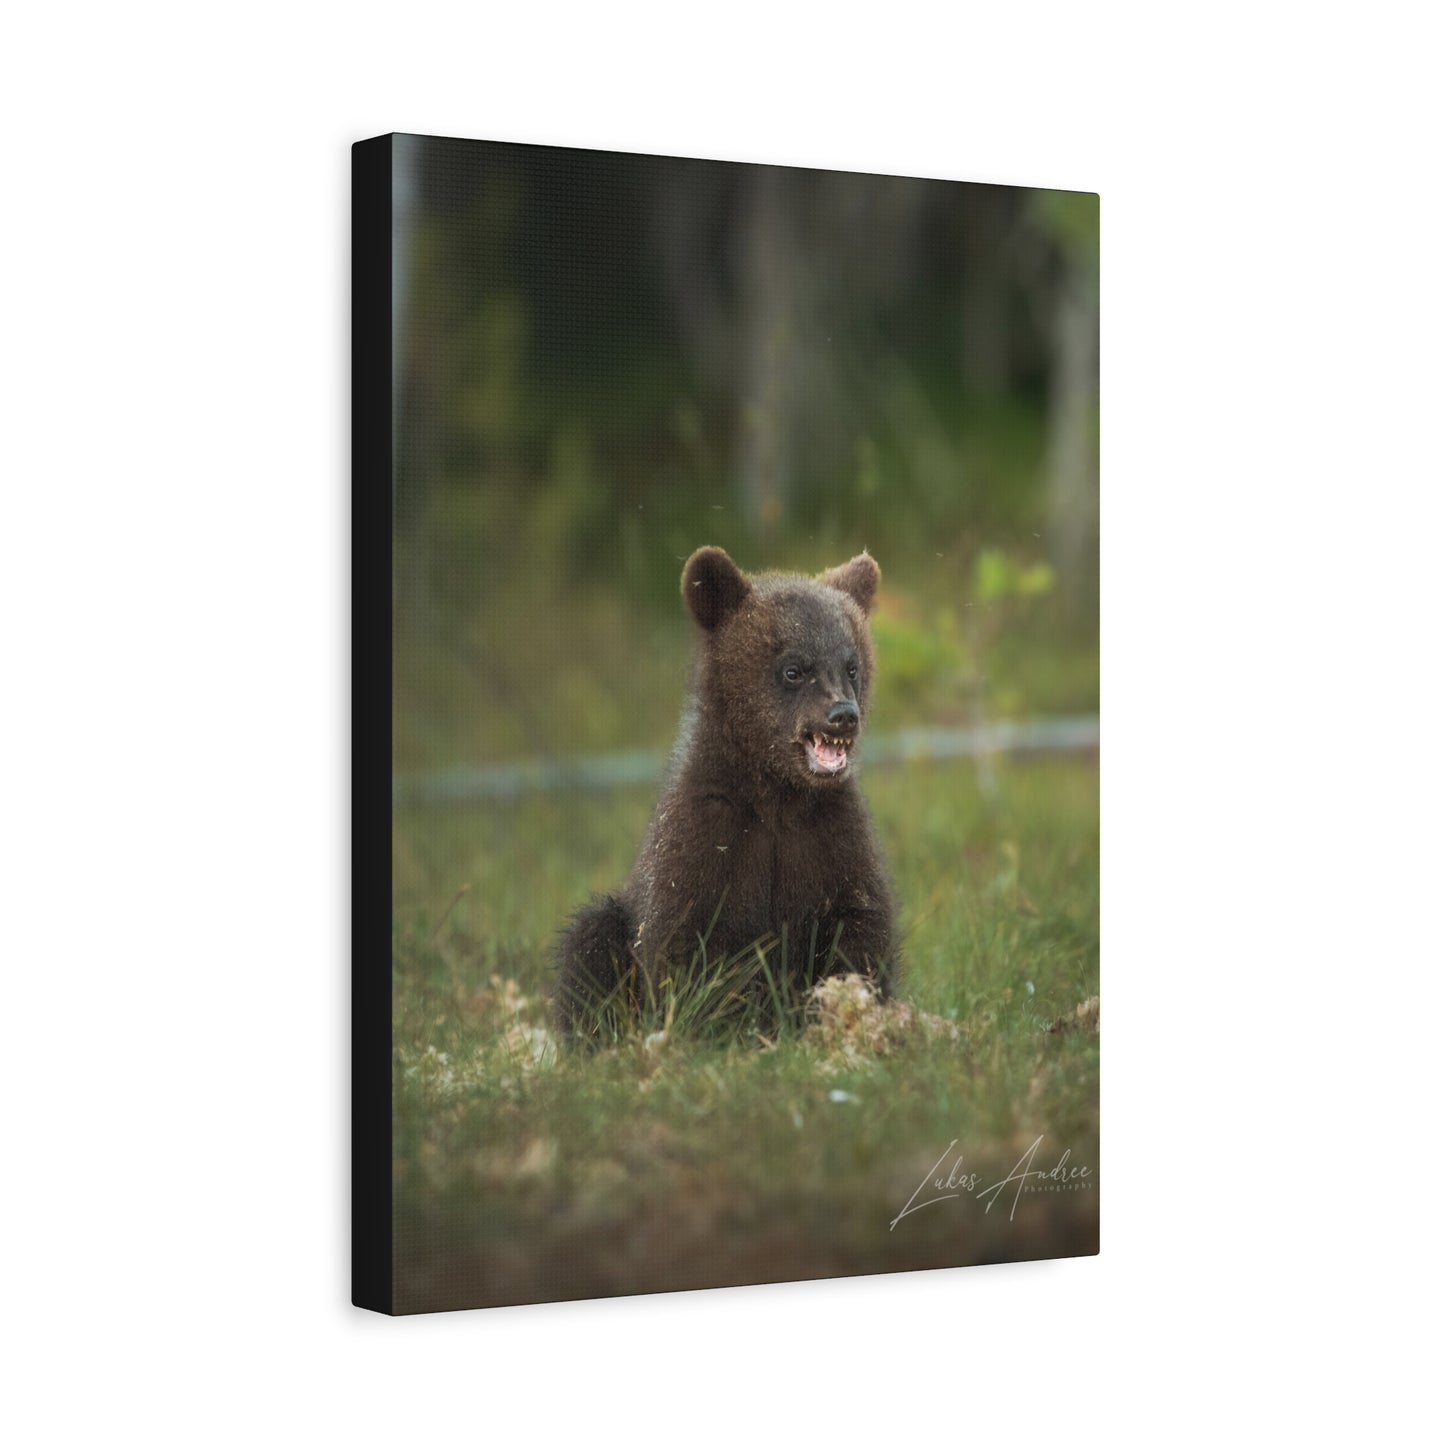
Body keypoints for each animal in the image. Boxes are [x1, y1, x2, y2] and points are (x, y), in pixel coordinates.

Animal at [552, 546, 897, 1040]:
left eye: (852, 665)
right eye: (794, 669)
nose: (842, 715)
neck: (777, 796)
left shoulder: (831, 835)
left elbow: (860, 929)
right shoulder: (707, 836)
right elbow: (686, 945)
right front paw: (720, 1029)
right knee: (589, 942)